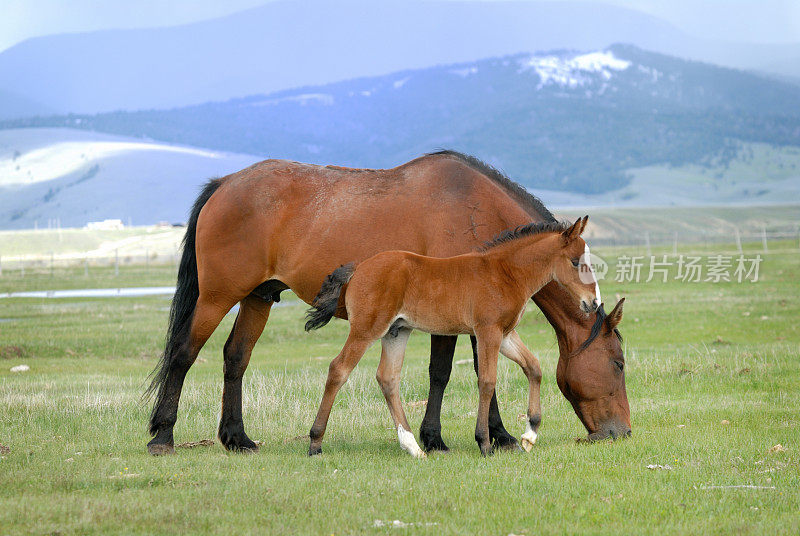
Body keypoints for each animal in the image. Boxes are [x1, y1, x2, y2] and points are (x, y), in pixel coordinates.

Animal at [306, 217, 600, 456]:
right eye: (575, 262)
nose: (593, 303)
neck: (504, 273)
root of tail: (358, 268)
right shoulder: (488, 332)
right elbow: (487, 381)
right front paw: (484, 443)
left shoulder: (506, 334)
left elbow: (534, 368)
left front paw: (530, 434)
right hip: (367, 329)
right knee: (339, 369)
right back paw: (315, 442)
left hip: (396, 332)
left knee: (388, 378)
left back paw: (412, 446)